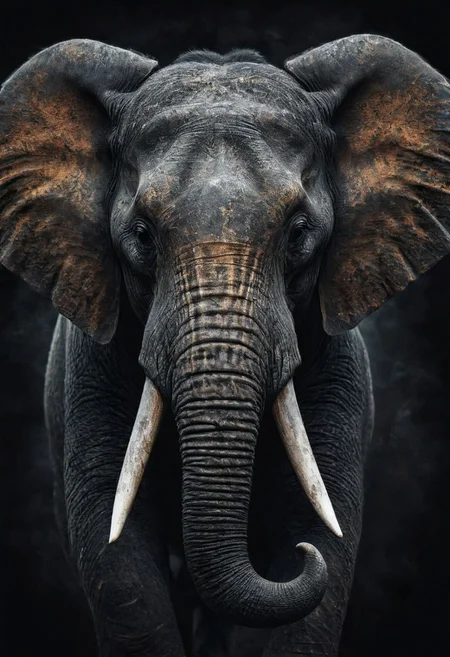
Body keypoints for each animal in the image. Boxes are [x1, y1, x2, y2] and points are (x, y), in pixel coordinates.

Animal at [0, 33, 449, 656]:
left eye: (298, 232)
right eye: (142, 235)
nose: (299, 563)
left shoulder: (335, 372)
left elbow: (325, 533)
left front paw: (308, 547)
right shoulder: (88, 372)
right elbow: (118, 562)